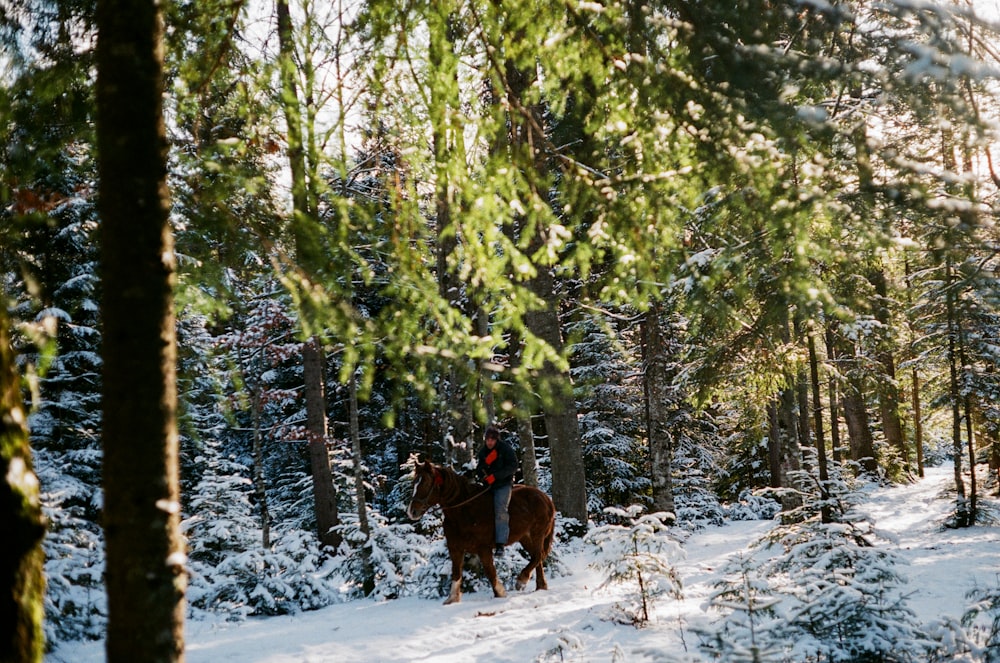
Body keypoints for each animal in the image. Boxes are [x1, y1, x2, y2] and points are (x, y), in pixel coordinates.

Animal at [406, 460, 556, 604]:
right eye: (414, 483)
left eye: (425, 482)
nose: (412, 511)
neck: (464, 512)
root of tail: (545, 498)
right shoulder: (455, 548)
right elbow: (456, 572)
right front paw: (453, 598)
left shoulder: (484, 548)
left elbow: (490, 571)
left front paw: (500, 593)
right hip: (524, 537)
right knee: (537, 557)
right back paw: (540, 585)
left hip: (537, 533)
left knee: (538, 555)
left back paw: (522, 580)